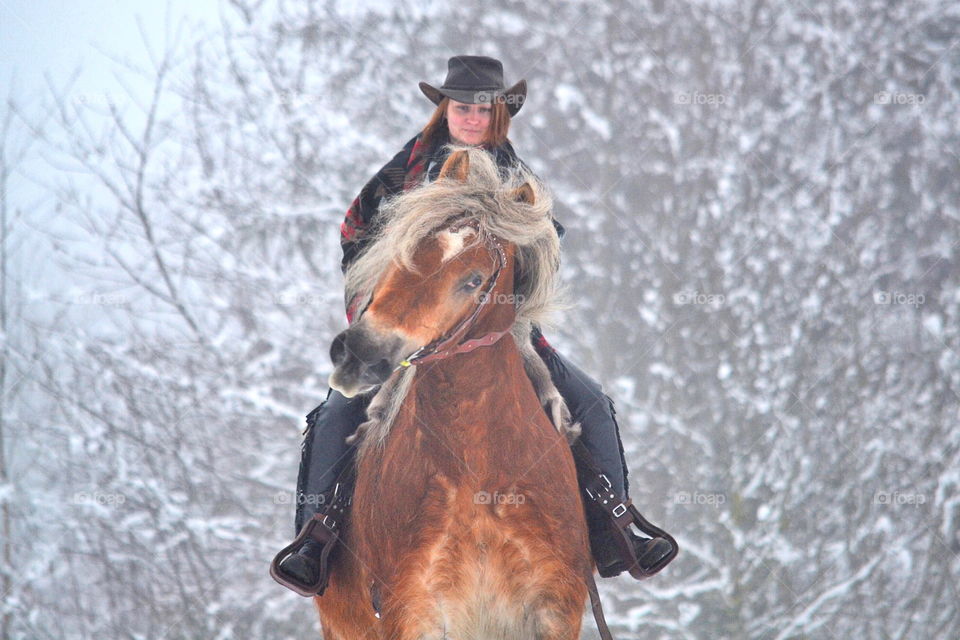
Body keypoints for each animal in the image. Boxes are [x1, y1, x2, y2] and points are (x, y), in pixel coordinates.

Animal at [318, 146, 592, 640]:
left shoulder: (556, 612)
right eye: (400, 252)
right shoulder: (412, 613)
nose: (359, 355)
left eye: (474, 279)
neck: (475, 468)